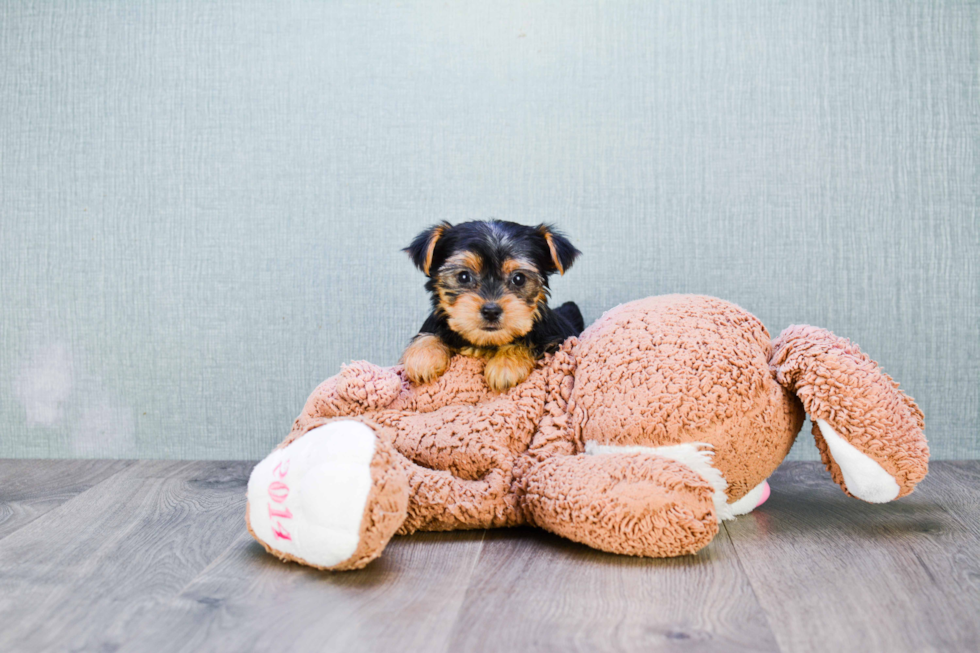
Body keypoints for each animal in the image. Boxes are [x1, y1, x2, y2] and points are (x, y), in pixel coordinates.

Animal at [398, 219, 580, 392]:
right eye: (463, 276)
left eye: (519, 278)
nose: (491, 311)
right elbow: (430, 332)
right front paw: (423, 356)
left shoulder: (557, 341)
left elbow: (530, 342)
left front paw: (505, 365)